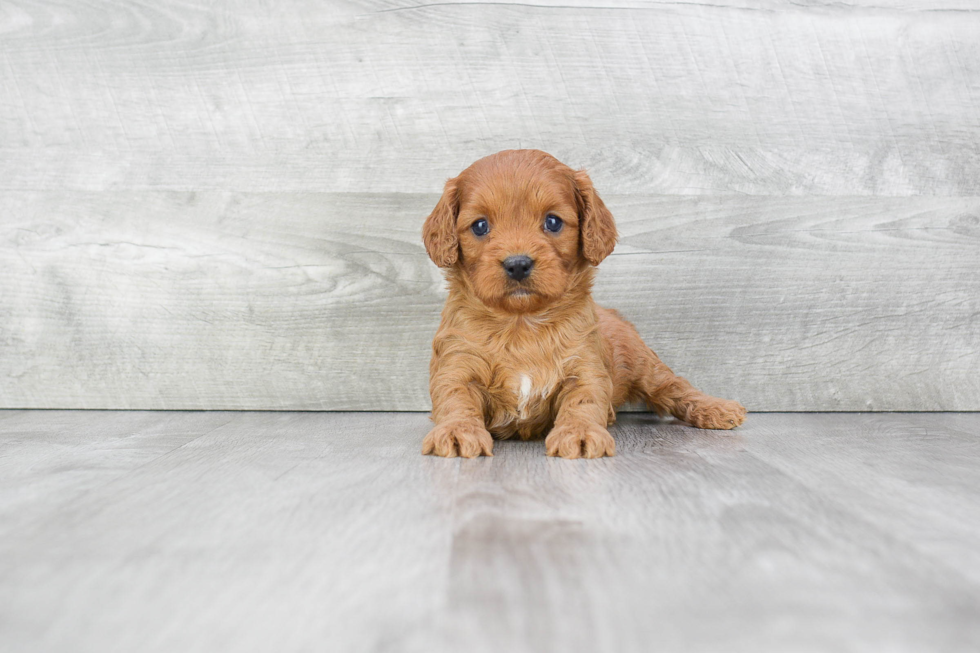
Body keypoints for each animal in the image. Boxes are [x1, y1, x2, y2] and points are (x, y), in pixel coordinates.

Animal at [420, 149, 744, 458]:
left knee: (675, 386)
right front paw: (457, 432)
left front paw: (580, 433)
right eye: (480, 226)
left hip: (645, 364)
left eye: (552, 222)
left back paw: (717, 409)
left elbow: (583, 402)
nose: (518, 264)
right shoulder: (457, 365)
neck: (520, 321)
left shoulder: (585, 368)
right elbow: (456, 401)